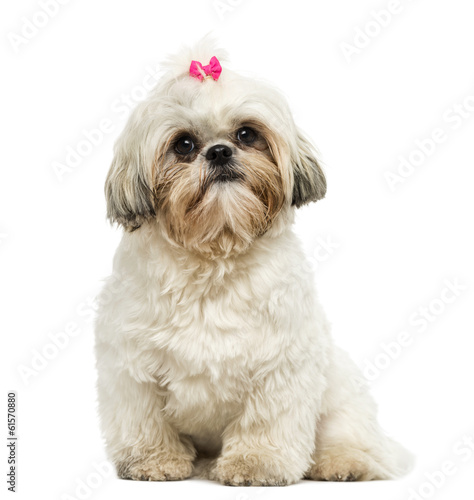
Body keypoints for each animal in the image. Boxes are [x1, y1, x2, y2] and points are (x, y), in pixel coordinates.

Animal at [93, 40, 412, 488]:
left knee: (351, 436)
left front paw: (257, 464)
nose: (220, 151)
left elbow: (265, 422)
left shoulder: (281, 365)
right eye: (183, 144)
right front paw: (154, 461)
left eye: (247, 134)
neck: (215, 257)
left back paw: (343, 462)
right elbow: (146, 421)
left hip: (340, 397)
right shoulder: (132, 369)